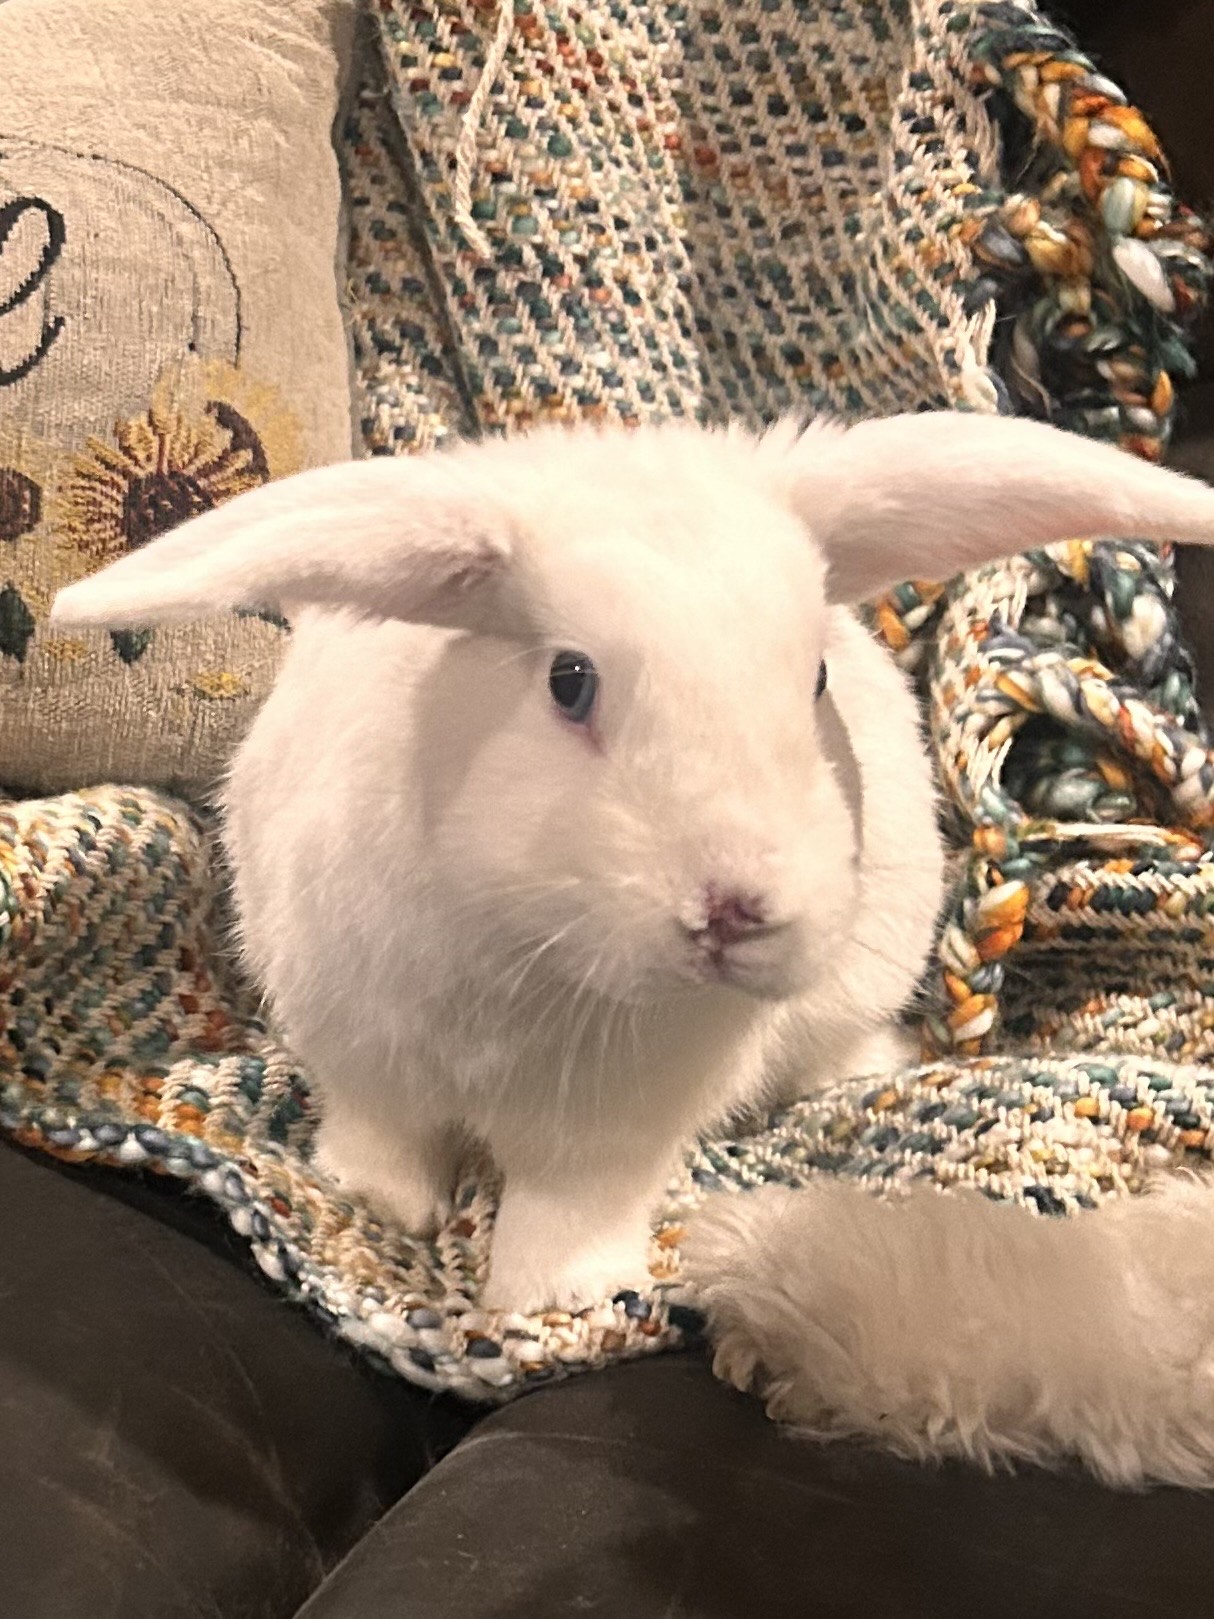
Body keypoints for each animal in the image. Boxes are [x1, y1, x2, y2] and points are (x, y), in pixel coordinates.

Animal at [50, 411, 1214, 1314]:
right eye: (570, 680)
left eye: (815, 680)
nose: (738, 906)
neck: (534, 941)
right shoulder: (364, 1048)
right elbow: (383, 1135)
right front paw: (375, 1202)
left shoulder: (613, 1123)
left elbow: (571, 1204)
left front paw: (549, 1295)